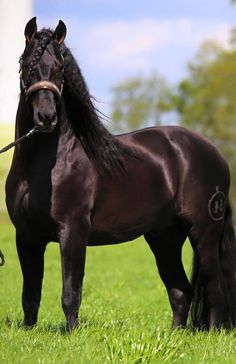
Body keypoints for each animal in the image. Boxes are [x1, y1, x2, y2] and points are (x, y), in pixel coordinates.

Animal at [6, 17, 236, 332]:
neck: (44, 166)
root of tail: (215, 153)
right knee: (180, 290)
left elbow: (70, 293)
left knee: (214, 290)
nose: (46, 117)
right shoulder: (26, 236)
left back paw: (213, 332)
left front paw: (71, 335)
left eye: (60, 68)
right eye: (27, 64)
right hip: (164, 238)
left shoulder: (73, 231)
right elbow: (30, 296)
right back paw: (175, 334)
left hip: (203, 233)